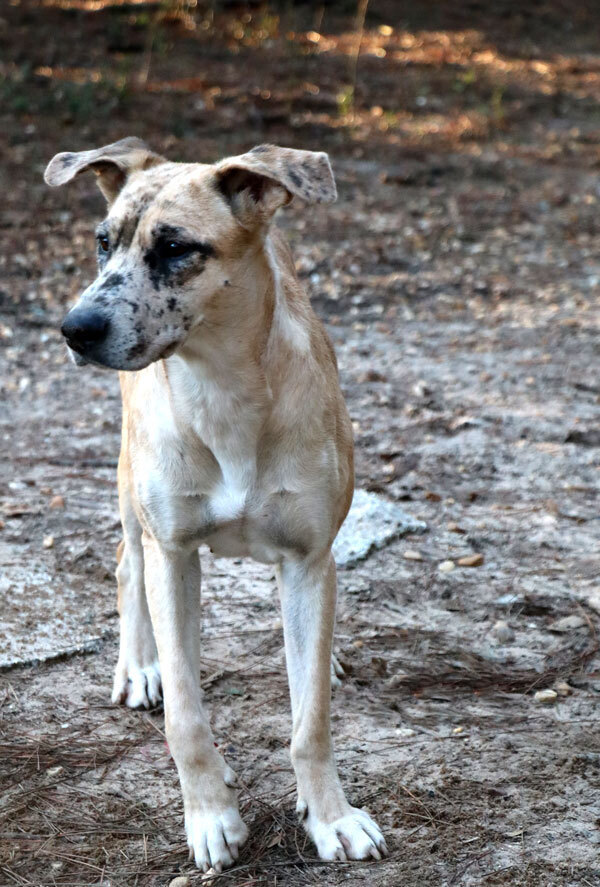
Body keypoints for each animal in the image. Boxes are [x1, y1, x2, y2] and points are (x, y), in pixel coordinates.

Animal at [44, 139, 386, 876]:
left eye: (175, 247)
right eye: (102, 241)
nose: (74, 328)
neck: (224, 388)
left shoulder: (309, 557)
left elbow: (311, 718)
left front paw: (331, 816)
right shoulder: (174, 552)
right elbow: (186, 715)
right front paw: (211, 818)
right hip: (131, 485)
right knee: (127, 561)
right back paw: (139, 666)